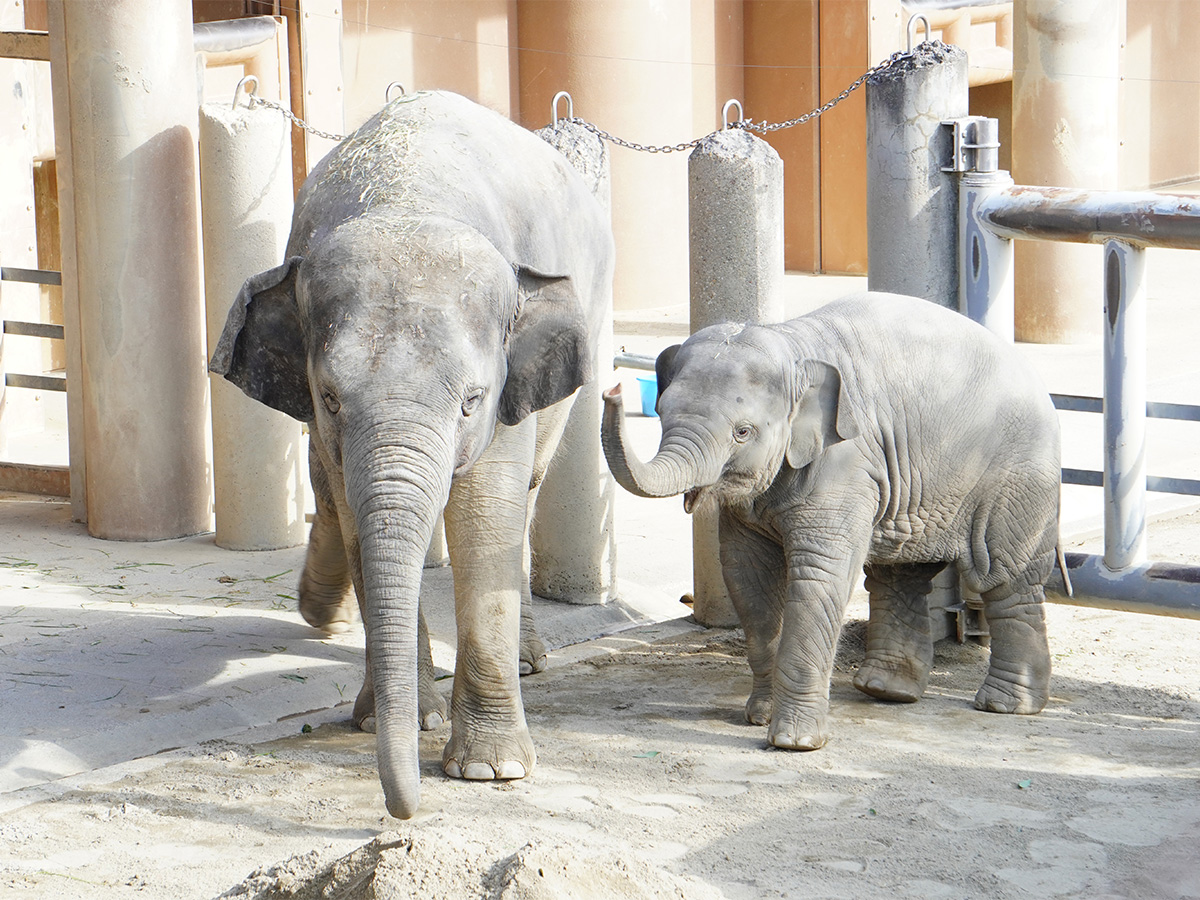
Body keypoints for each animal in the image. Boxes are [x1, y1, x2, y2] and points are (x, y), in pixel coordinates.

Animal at [210, 90, 614, 816]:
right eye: (331, 397)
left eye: (472, 401)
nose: (405, 810)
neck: (407, 199)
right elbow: (356, 516)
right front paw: (395, 722)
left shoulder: (507, 389)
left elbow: (486, 516)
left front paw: (490, 770)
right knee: (329, 498)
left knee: (530, 490)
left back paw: (526, 661)